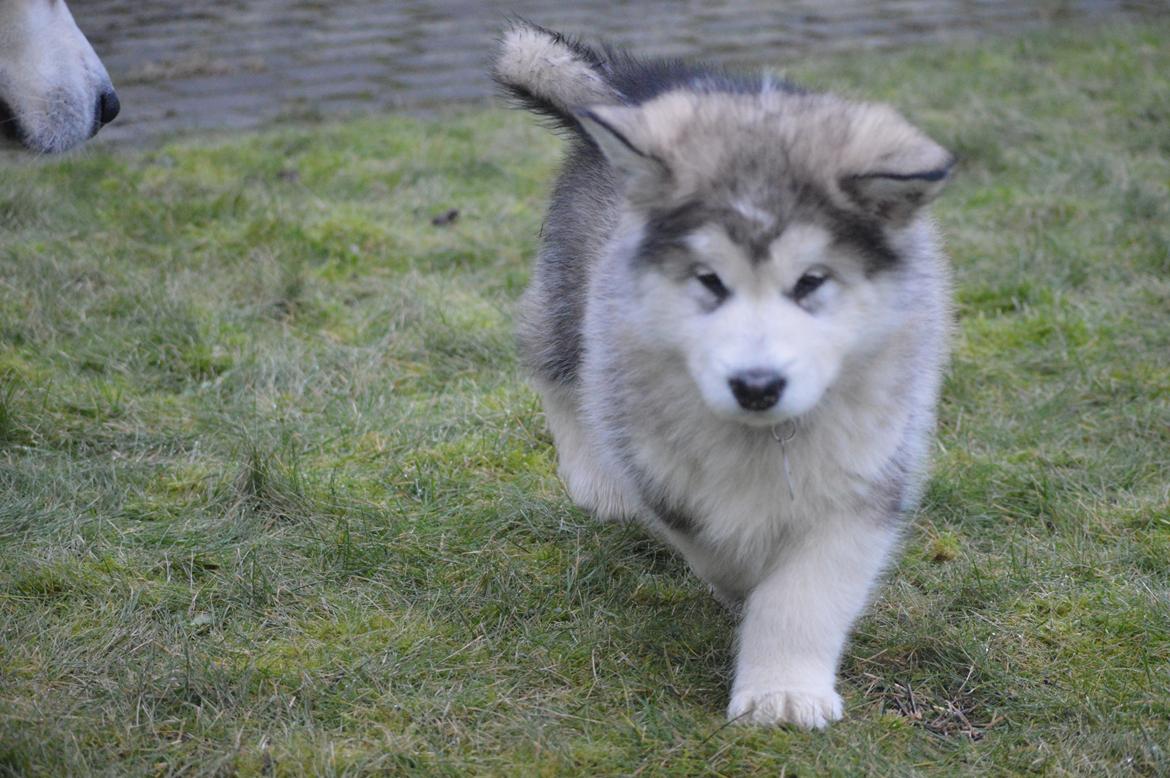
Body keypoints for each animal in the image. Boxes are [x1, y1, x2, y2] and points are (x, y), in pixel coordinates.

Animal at [489, 22, 954, 730]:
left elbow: (806, 590)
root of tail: (640, 85)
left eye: (811, 282)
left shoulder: (869, 470)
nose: (756, 387)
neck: (765, 438)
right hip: (575, 292)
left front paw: (784, 690)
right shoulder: (658, 458)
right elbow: (716, 544)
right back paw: (597, 480)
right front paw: (745, 588)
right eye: (709, 281)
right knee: (555, 364)